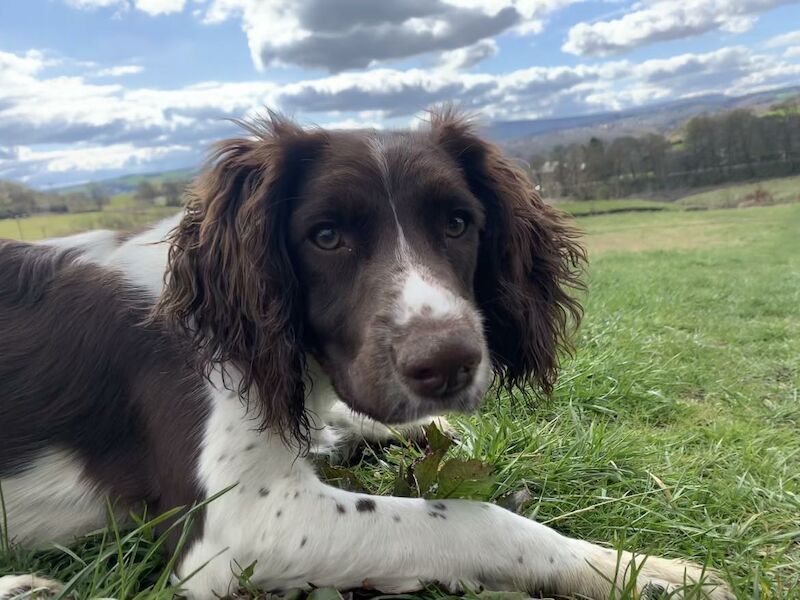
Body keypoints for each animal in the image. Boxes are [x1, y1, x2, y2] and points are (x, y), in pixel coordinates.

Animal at [0, 112, 732, 600]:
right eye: (325, 236)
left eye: (458, 223)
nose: (447, 366)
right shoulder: (240, 525)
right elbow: (474, 520)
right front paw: (642, 571)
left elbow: (395, 428)